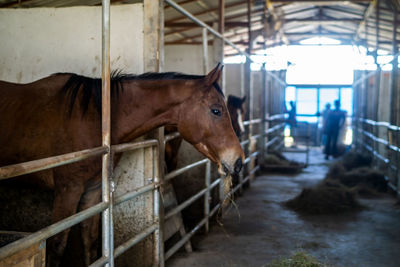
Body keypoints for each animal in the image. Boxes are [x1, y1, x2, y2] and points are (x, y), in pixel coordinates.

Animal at [0, 64, 244, 266]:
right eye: (216, 110)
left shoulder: (93, 190)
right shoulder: (67, 190)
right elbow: (57, 244)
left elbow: (90, 240)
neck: (96, 119)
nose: (239, 160)